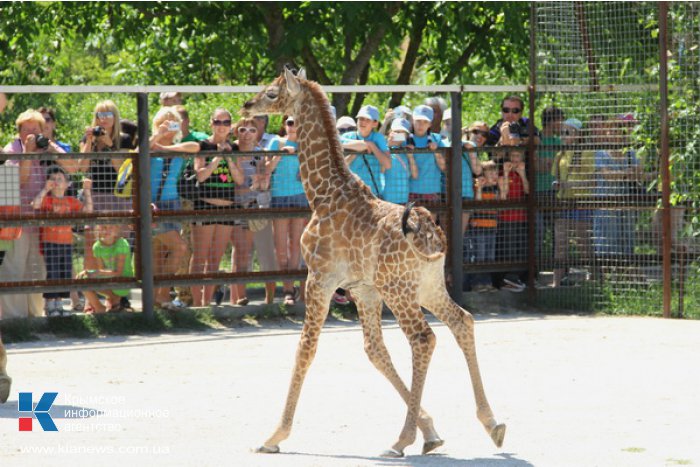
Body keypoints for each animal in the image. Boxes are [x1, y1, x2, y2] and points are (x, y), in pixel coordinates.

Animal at [241, 68, 504, 458]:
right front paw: (431, 430)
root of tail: (430, 233)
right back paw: (492, 424)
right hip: (427, 286)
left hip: (399, 290)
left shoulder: (319, 279)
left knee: (423, 339)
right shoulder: (363, 290)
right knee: (462, 322)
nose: (246, 105)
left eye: (272, 94)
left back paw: (400, 440)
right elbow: (374, 351)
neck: (322, 194)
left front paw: (275, 435)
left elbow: (306, 348)